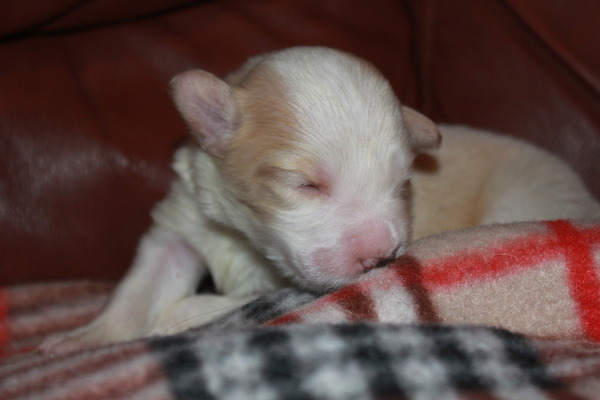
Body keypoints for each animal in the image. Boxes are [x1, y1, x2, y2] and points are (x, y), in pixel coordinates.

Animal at [39, 47, 596, 352]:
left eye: (402, 185)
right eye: (305, 184)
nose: (380, 258)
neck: (245, 235)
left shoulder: (284, 284)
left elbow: (216, 303)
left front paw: (174, 318)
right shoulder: (184, 221)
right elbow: (139, 287)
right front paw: (85, 338)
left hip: (521, 197)